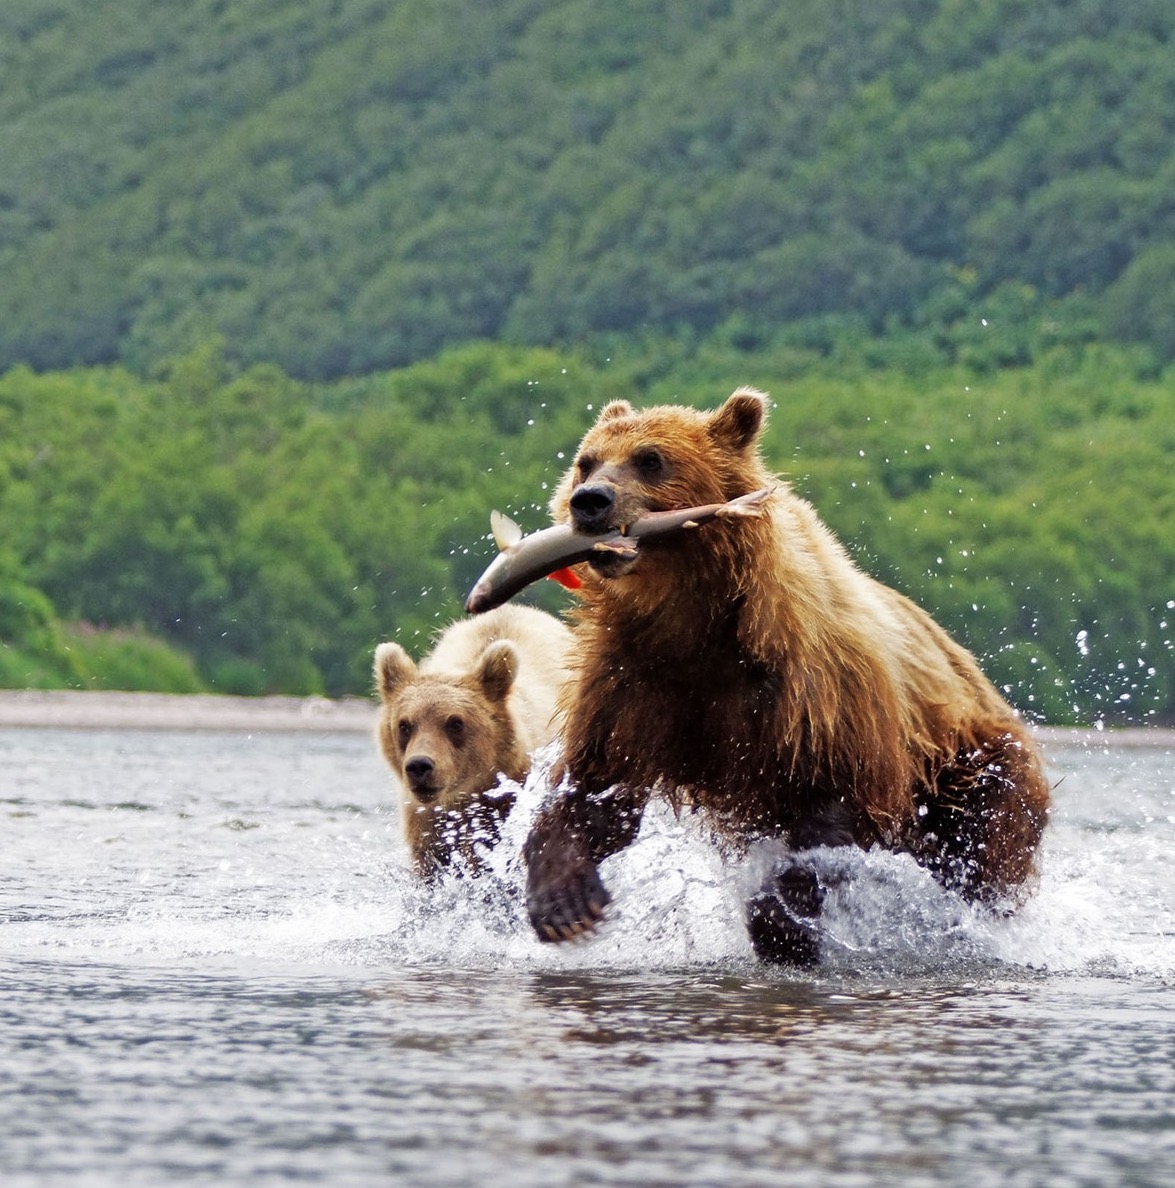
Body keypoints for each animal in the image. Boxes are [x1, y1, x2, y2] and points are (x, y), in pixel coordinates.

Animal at [522, 389, 1045, 964]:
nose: (590, 501)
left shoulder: (817, 686)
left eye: (651, 459)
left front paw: (782, 925)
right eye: (586, 460)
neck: (698, 618)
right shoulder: (634, 679)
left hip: (975, 768)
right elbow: (597, 788)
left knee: (978, 856)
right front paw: (564, 901)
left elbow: (832, 807)